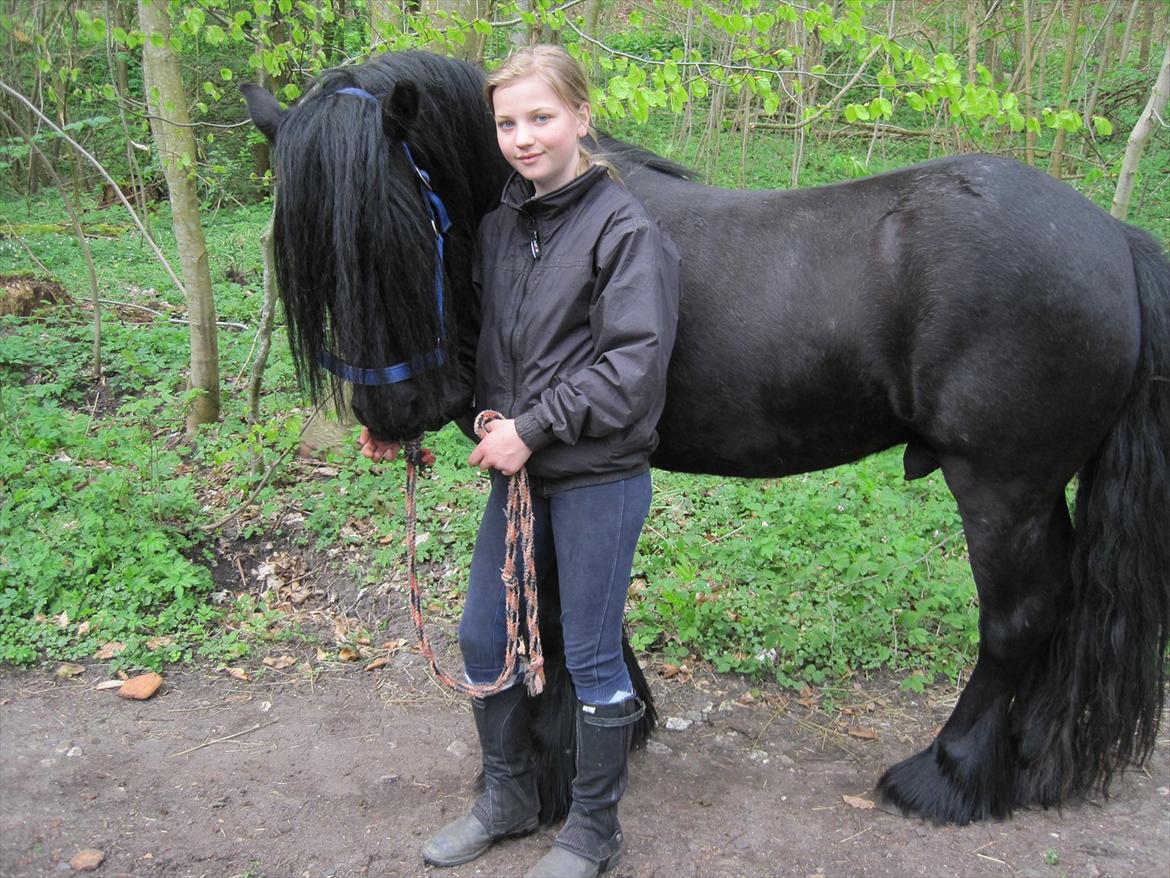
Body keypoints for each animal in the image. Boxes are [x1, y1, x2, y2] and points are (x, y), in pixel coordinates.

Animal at [242, 50, 1170, 827]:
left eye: (403, 228)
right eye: (310, 252)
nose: (393, 412)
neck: (550, 223)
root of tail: (1113, 240)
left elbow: (551, 602)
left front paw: (549, 764)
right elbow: (581, 603)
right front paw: (622, 721)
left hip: (1001, 486)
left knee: (1016, 620)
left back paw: (947, 776)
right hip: (1041, 488)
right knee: (1061, 605)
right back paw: (1031, 760)